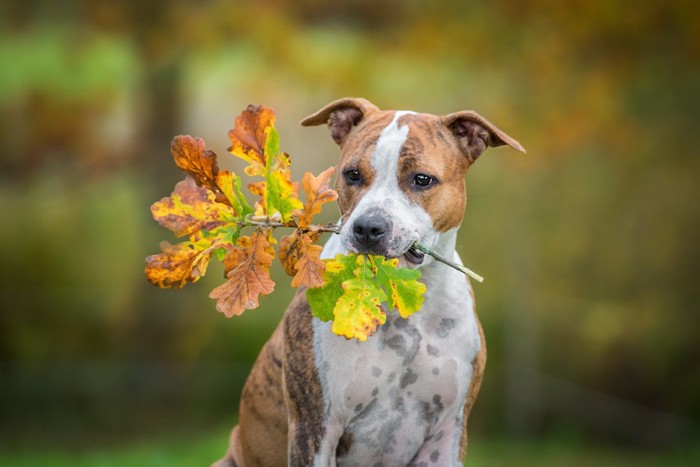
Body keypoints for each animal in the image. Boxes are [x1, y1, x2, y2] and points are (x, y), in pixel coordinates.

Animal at [213, 97, 524, 466]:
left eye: (422, 179)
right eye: (353, 174)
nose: (368, 227)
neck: (403, 300)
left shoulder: (447, 434)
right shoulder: (315, 427)